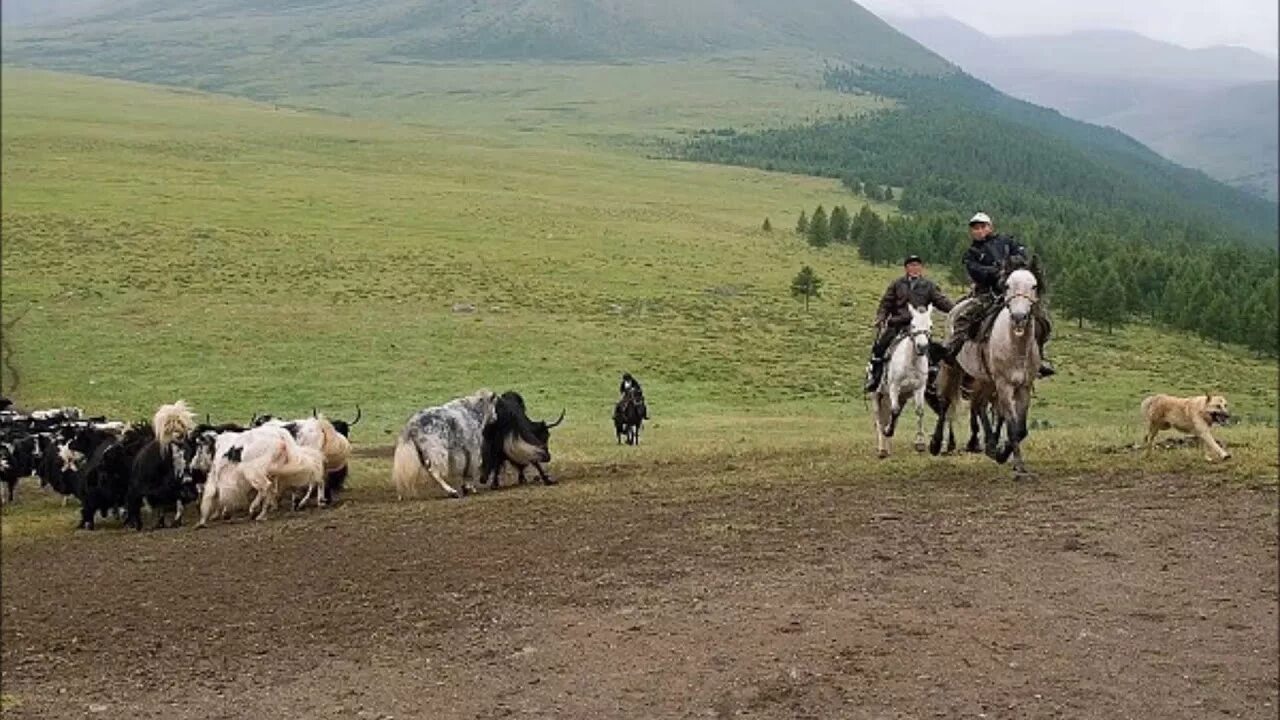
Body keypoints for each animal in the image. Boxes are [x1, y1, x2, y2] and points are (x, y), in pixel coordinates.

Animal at [875, 304, 936, 456]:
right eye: (913, 325)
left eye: (930, 326)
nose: (922, 347)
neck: (911, 361)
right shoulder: (894, 387)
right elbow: (894, 410)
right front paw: (888, 431)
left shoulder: (919, 388)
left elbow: (919, 411)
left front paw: (920, 443)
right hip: (878, 395)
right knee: (879, 420)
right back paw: (882, 448)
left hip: (900, 397)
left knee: (889, 417)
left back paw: (888, 448)